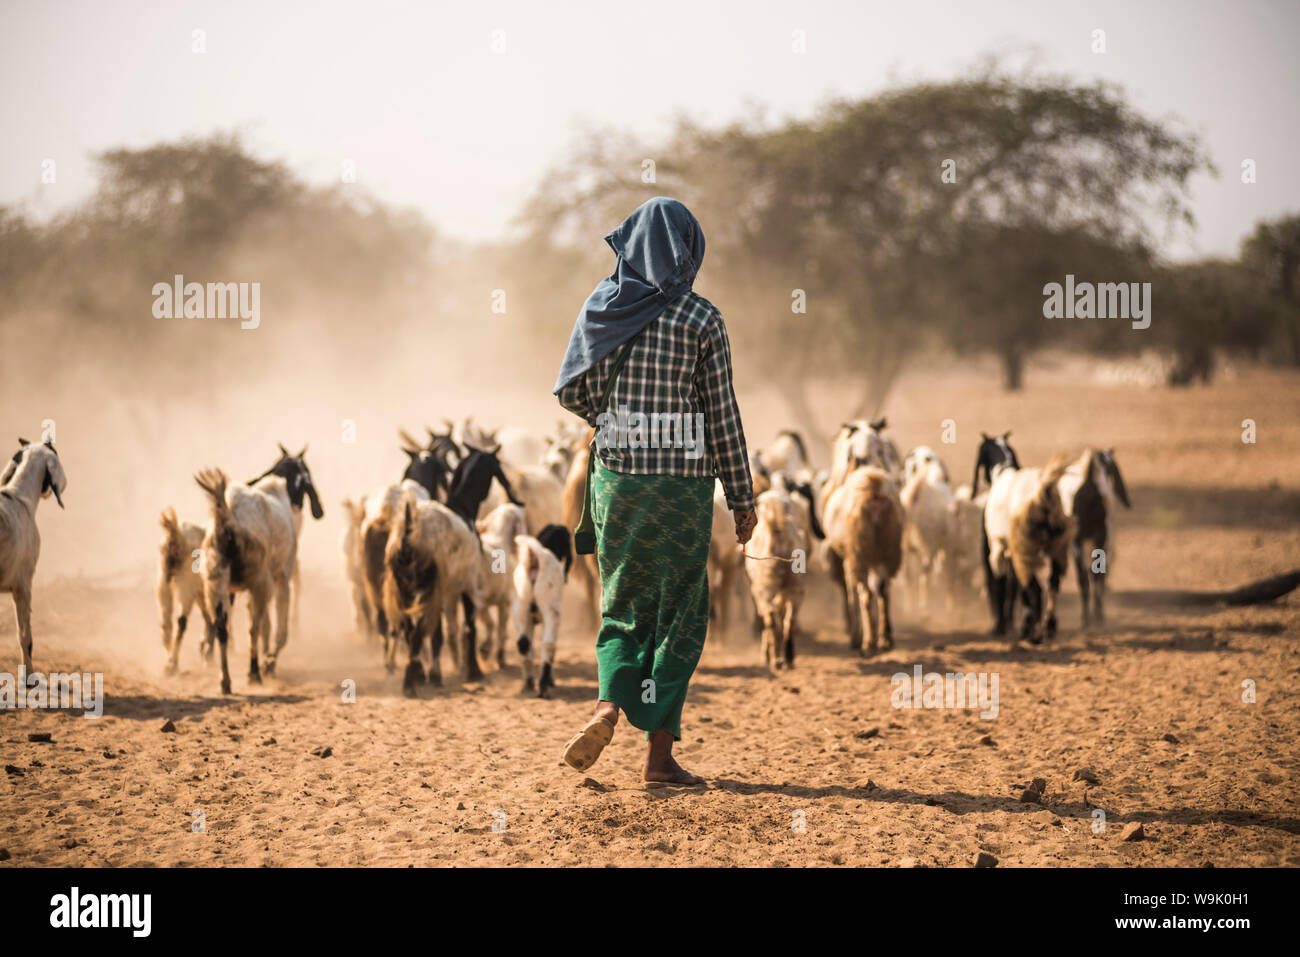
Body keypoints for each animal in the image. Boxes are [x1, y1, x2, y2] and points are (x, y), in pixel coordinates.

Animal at [161, 509, 214, 670]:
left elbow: (208, 616)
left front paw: (205, 649)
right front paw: (207, 653)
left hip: (165, 580)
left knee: (167, 619)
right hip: (186, 584)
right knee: (181, 621)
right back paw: (172, 664)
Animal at [1055, 447, 1128, 629]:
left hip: (1080, 541)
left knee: (1085, 576)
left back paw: (1088, 617)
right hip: (1093, 539)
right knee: (1094, 575)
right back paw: (1096, 616)